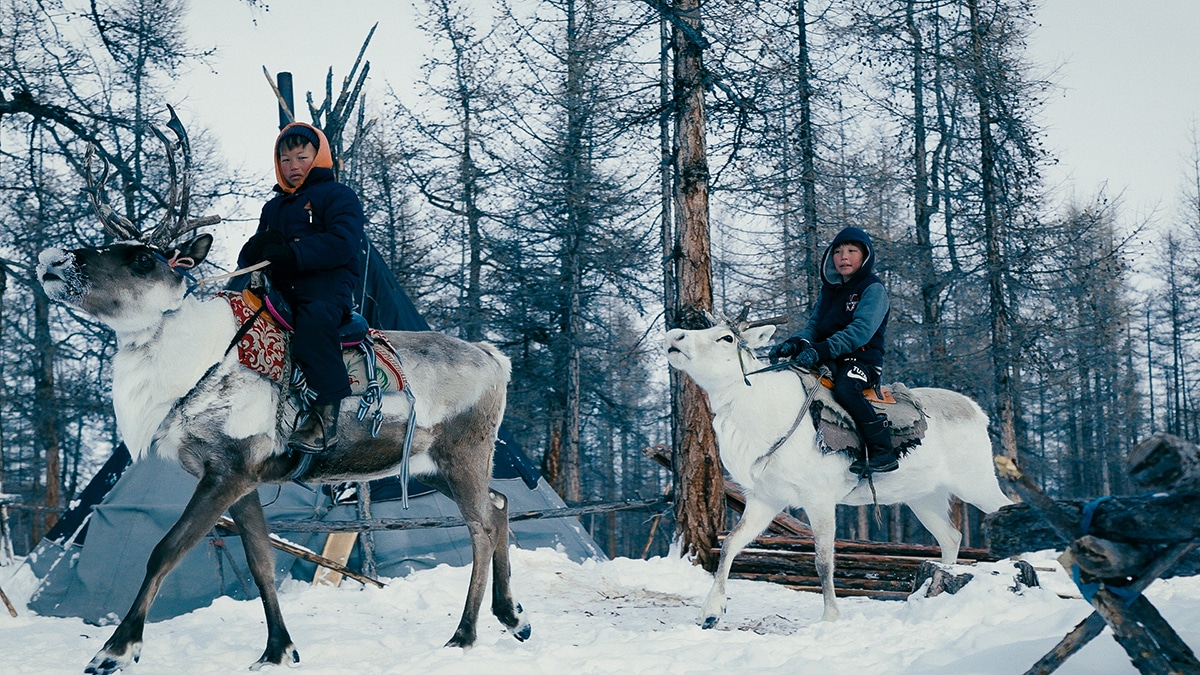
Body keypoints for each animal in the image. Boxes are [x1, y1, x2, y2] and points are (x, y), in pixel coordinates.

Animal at [36, 112, 529, 674]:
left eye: (142, 258)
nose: (54, 259)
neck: (195, 362)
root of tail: (496, 358)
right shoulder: (243, 477)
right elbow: (261, 562)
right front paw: (278, 649)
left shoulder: (228, 470)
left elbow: (165, 549)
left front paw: (115, 650)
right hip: (433, 467)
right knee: (500, 505)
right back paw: (513, 617)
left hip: (462, 454)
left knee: (481, 527)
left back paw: (465, 634)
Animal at [665, 314, 1012, 628]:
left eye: (726, 338)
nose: (673, 336)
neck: (759, 416)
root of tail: (977, 411)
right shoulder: (766, 498)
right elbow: (729, 546)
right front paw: (710, 612)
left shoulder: (818, 497)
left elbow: (823, 561)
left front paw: (830, 617)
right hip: (924, 498)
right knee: (951, 537)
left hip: (976, 482)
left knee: (1006, 510)